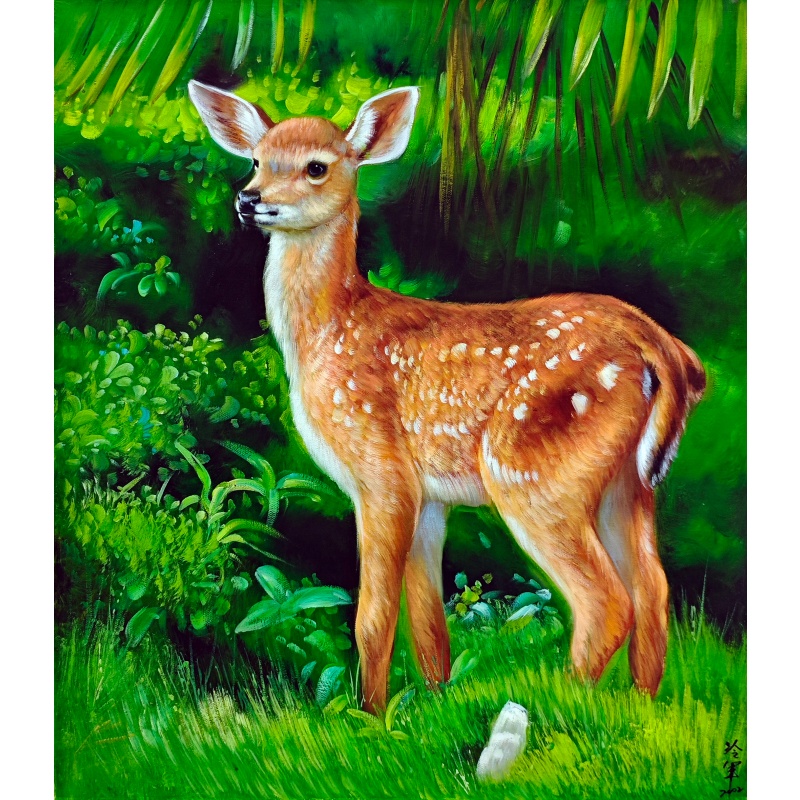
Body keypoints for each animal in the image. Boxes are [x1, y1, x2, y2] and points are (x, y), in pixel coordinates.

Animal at [189, 80, 706, 713]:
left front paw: (370, 717)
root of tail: (664, 348)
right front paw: (429, 704)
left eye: (316, 167)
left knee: (605, 600)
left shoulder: (381, 470)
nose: (248, 199)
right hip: (629, 482)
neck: (327, 332)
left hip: (532, 471)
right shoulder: (428, 495)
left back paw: (552, 707)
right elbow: (429, 622)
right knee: (655, 587)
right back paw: (639, 705)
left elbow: (371, 618)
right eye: (257, 160)